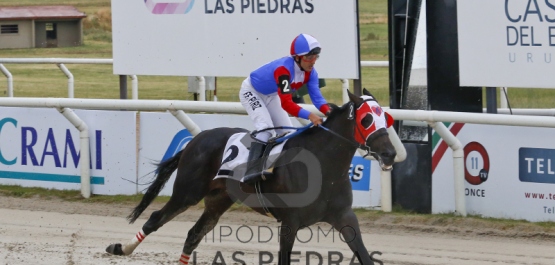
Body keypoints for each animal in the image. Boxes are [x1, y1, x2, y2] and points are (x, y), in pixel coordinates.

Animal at [106, 88, 398, 262]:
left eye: (387, 118)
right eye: (366, 120)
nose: (390, 154)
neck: (324, 166)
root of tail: (196, 139)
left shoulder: (344, 217)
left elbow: (364, 255)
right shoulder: (290, 222)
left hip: (218, 200)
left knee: (193, 235)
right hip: (188, 191)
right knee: (156, 218)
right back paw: (120, 248)